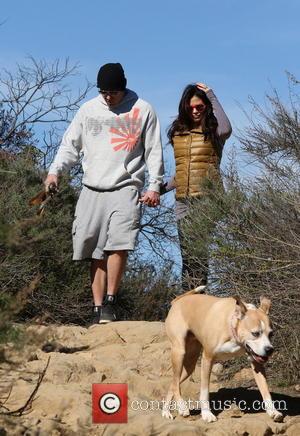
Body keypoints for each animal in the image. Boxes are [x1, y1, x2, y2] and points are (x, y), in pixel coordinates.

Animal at [163, 286, 282, 422]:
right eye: (255, 333)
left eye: (271, 334)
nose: (269, 350)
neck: (232, 326)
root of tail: (177, 301)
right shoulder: (207, 358)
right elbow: (204, 391)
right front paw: (207, 414)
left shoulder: (256, 362)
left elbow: (265, 390)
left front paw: (273, 411)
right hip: (179, 352)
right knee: (175, 382)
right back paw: (182, 407)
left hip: (190, 365)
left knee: (173, 383)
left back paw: (166, 412)